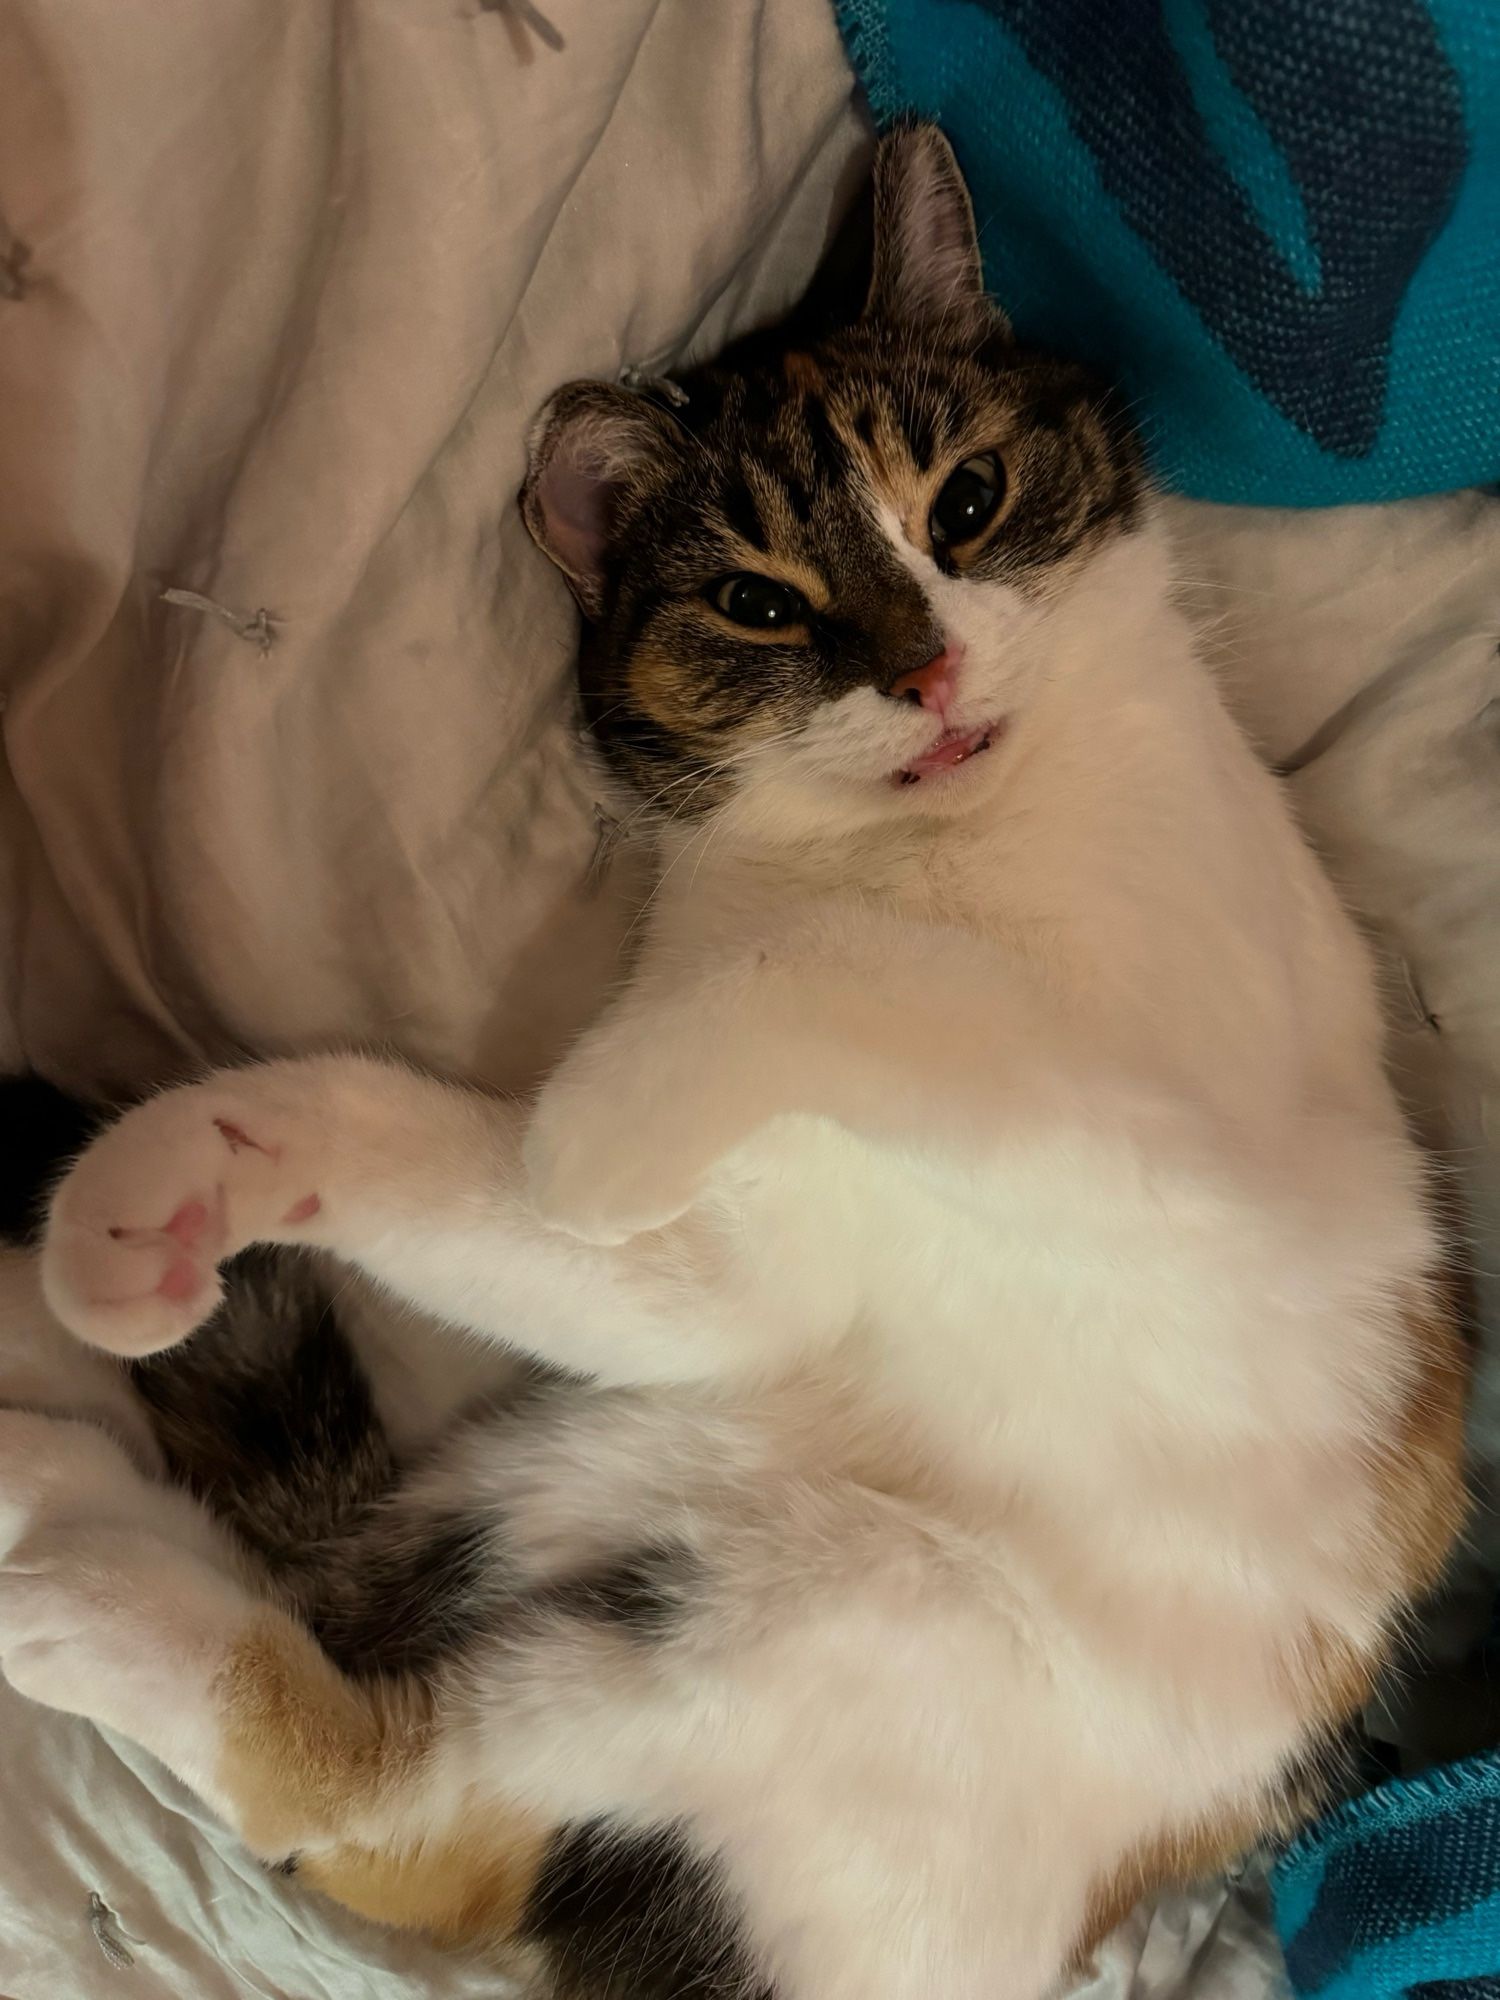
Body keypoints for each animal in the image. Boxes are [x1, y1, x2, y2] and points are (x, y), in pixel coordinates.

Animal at [0, 125, 1472, 2000]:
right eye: (758, 603)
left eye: (966, 504)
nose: (926, 669)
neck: (911, 852)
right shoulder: (750, 1268)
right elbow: (555, 1214)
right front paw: (183, 1175)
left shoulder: (1192, 1154)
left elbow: (882, 984)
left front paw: (593, 1127)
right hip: (595, 1480)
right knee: (389, 1742)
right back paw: (61, 1500)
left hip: (837, 1620)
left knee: (377, 1798)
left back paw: (66, 1581)